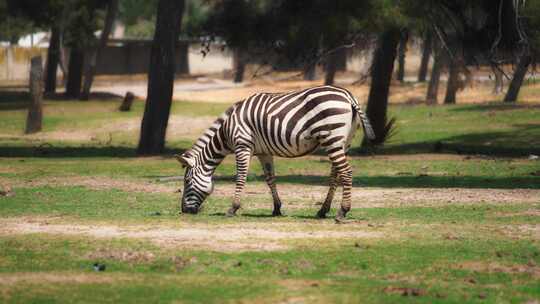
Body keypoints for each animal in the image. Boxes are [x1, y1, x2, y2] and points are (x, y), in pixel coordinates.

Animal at [175, 84, 374, 222]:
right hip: (344, 141)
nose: (184, 211)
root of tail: (348, 95)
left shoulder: (242, 145)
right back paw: (323, 210)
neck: (226, 132)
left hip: (331, 137)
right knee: (336, 174)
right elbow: (270, 179)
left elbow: (241, 177)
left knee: (346, 172)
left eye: (187, 181)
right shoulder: (264, 152)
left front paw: (233, 208)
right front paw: (277, 209)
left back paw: (342, 211)